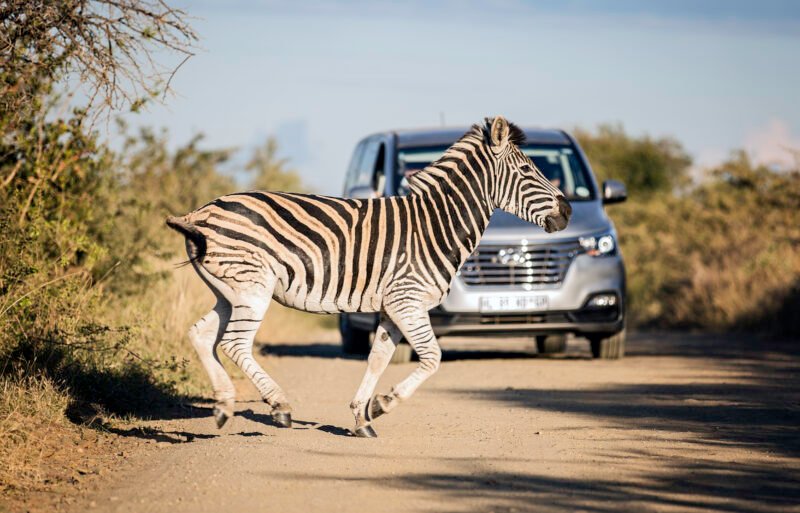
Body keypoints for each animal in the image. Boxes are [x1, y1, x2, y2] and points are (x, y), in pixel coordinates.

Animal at [167, 116, 568, 436]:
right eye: (528, 171)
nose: (566, 211)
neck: (436, 226)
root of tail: (199, 213)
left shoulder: (392, 306)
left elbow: (378, 359)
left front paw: (362, 416)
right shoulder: (408, 300)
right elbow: (433, 358)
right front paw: (383, 404)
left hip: (230, 291)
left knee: (201, 335)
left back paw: (223, 407)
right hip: (253, 287)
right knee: (234, 343)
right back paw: (279, 407)